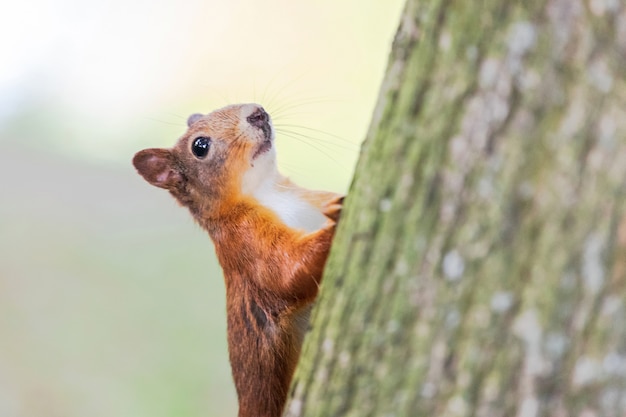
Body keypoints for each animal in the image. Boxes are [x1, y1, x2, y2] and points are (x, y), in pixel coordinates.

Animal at [132, 103, 344, 416]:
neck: (267, 190)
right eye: (200, 146)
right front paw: (336, 223)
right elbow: (285, 273)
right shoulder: (244, 242)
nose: (257, 112)